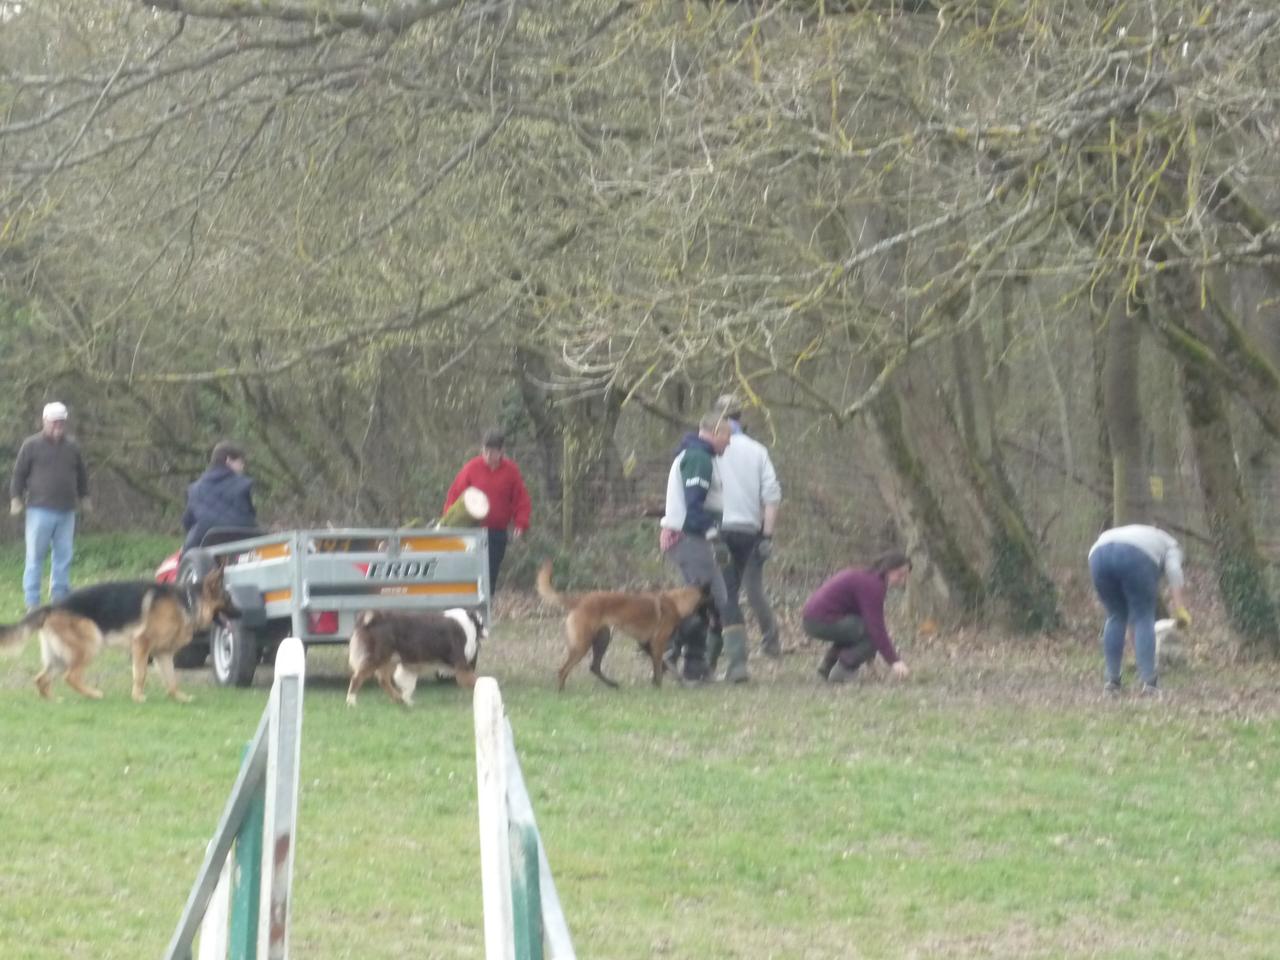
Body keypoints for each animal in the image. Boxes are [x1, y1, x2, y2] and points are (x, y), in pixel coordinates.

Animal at [0, 568, 234, 701]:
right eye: (228, 599)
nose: (240, 613)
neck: (188, 603)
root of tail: (51, 607)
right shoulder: (141, 644)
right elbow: (141, 674)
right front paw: (138, 697)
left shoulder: (163, 654)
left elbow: (171, 679)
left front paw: (179, 697)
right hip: (91, 643)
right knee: (70, 676)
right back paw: (94, 694)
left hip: (59, 657)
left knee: (41, 679)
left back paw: (53, 700)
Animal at [345, 609, 483, 706]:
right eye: (482, 624)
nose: (486, 630)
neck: (468, 623)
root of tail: (375, 617)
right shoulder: (461, 666)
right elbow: (476, 680)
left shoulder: (410, 666)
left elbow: (409, 685)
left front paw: (407, 701)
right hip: (377, 657)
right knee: (357, 677)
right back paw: (351, 702)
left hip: (388, 659)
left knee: (383, 680)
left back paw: (398, 700)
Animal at [532, 563, 711, 691]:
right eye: (712, 604)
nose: (712, 621)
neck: (677, 602)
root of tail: (579, 601)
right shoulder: (657, 644)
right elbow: (660, 667)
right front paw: (660, 687)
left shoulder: (647, 644)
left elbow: (663, 666)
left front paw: (669, 683)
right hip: (583, 645)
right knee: (564, 670)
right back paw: (562, 692)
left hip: (602, 639)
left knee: (594, 667)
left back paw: (612, 685)